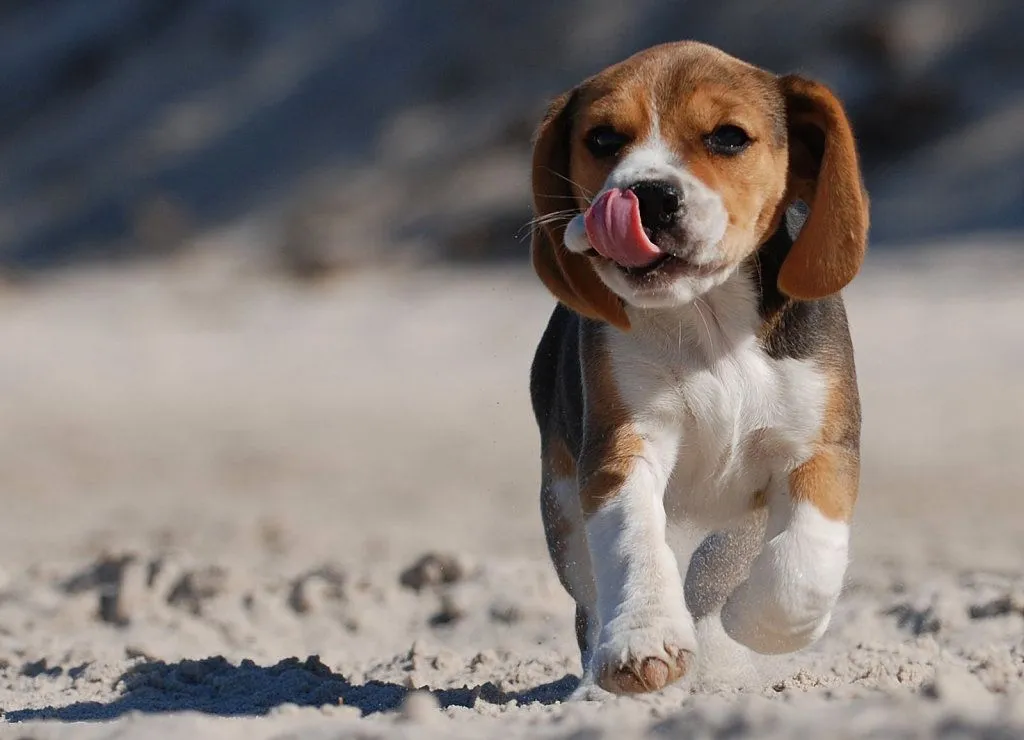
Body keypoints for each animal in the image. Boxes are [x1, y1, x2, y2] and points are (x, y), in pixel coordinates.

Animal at [528, 40, 872, 695]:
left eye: (729, 138)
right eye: (603, 138)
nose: (648, 195)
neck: (707, 318)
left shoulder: (821, 447)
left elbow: (803, 565)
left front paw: (750, 620)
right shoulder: (620, 447)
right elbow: (635, 541)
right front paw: (643, 641)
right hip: (561, 509)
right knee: (590, 601)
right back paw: (594, 681)